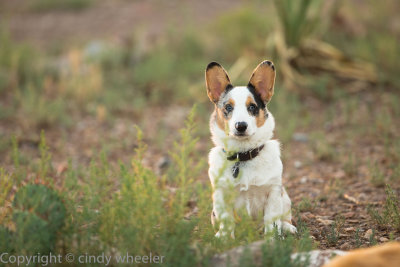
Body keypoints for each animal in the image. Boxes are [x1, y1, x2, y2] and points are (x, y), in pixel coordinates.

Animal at [206, 59, 296, 238]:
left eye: (252, 107)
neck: (243, 155)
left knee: (285, 218)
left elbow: (271, 222)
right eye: (228, 107)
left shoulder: (273, 192)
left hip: (285, 198)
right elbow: (227, 221)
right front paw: (225, 239)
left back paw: (288, 228)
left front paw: (271, 240)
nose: (241, 126)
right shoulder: (221, 194)